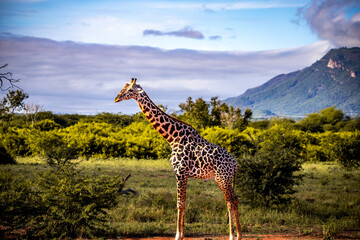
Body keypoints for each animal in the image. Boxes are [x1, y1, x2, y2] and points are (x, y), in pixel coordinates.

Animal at [114, 79, 242, 240]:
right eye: (123, 88)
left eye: (130, 90)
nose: (116, 98)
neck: (173, 138)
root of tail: (234, 163)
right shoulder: (182, 173)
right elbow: (183, 203)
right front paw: (180, 234)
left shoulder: (180, 172)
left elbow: (179, 204)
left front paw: (178, 235)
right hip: (224, 179)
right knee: (234, 200)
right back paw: (239, 235)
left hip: (223, 178)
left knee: (231, 201)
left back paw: (232, 236)